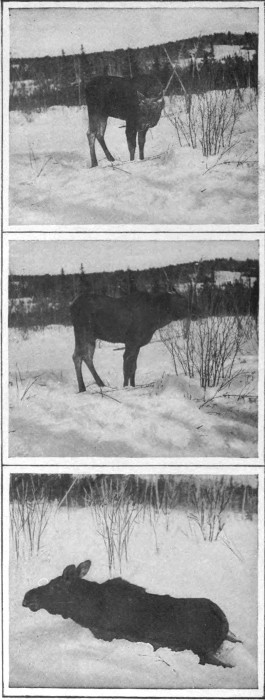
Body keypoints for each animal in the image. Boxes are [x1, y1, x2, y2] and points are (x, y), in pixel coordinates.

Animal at [22, 556, 240, 668]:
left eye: (53, 586)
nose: (27, 596)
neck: (85, 611)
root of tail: (223, 623)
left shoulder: (107, 634)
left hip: (201, 651)